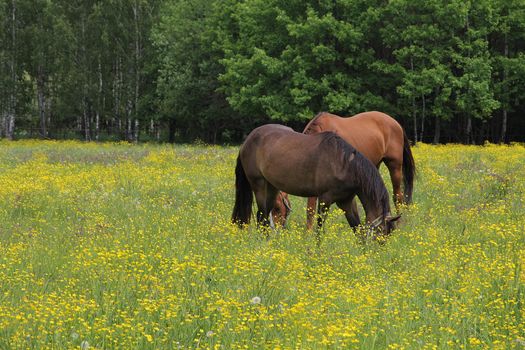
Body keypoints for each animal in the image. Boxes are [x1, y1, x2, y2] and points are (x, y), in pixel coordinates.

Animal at [231, 124, 400, 237]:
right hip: (259, 185)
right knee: (262, 216)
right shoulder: (325, 199)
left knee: (264, 216)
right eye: (382, 231)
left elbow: (356, 227)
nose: (378, 251)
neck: (343, 164)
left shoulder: (346, 201)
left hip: (272, 188)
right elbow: (319, 228)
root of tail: (248, 140)